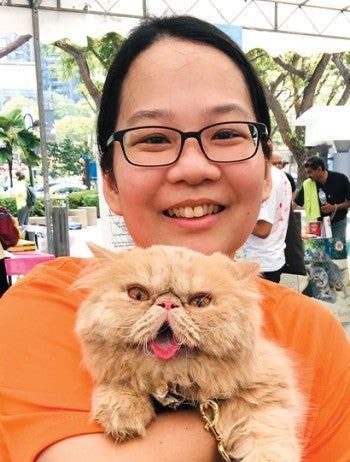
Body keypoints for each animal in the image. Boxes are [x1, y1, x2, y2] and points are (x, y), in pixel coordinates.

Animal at [75, 244, 304, 460]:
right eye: (138, 294)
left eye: (199, 302)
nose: (168, 303)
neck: (176, 388)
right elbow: (122, 378)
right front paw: (122, 411)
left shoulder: (266, 387)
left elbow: (267, 439)